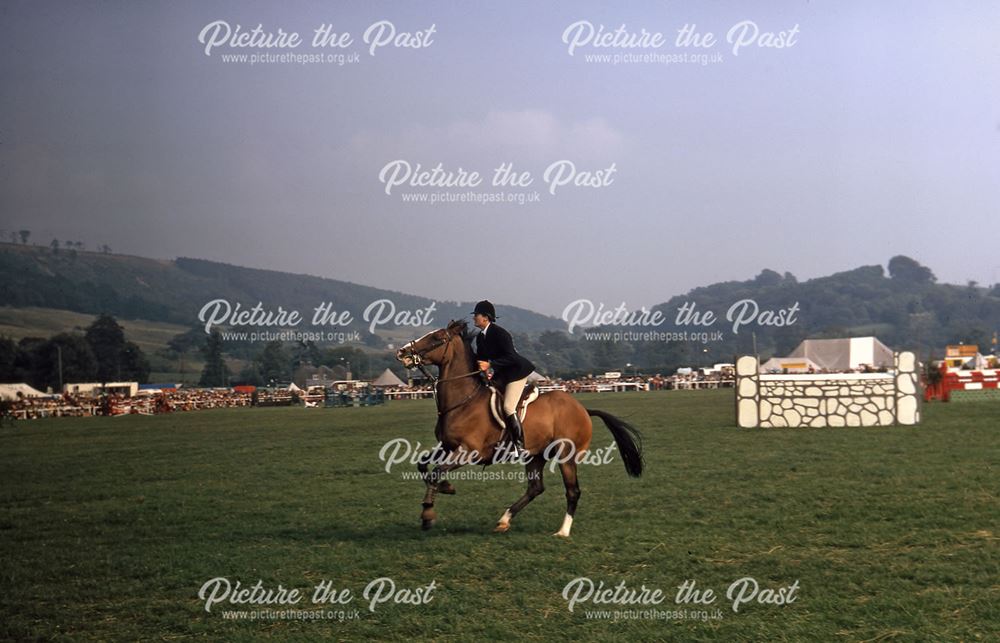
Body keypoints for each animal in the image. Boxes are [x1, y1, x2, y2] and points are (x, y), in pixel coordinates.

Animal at [394, 320, 644, 536]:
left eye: (437, 338)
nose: (402, 353)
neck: (463, 400)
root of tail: (582, 409)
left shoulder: (468, 452)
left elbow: (436, 471)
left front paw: (428, 514)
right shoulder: (446, 445)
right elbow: (423, 465)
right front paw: (445, 488)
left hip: (566, 456)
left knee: (572, 491)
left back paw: (562, 531)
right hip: (536, 454)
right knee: (535, 488)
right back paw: (504, 520)